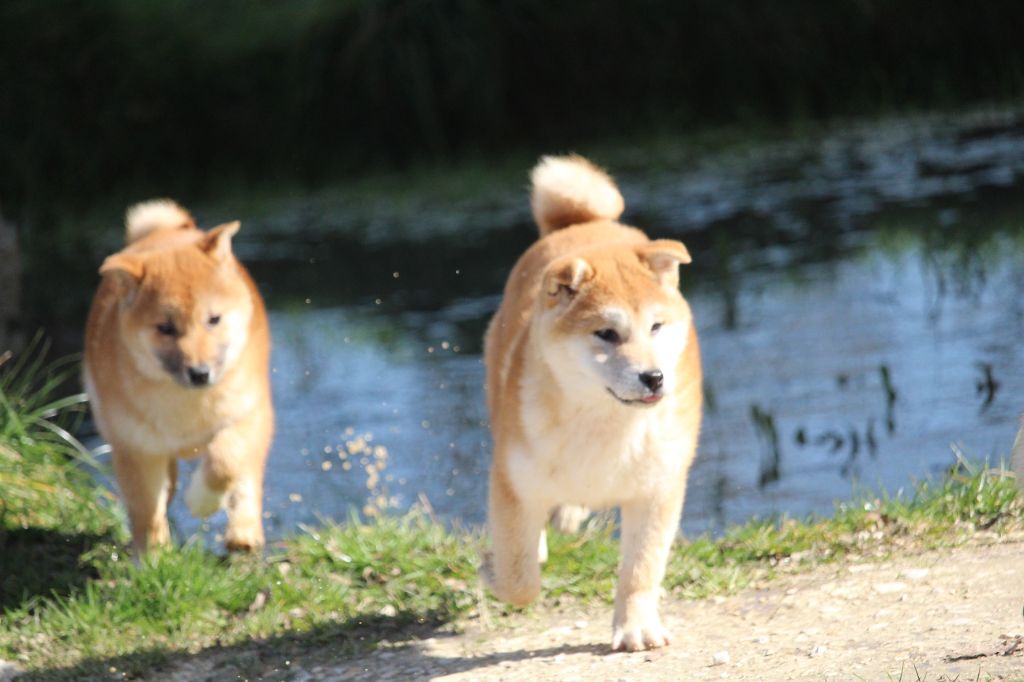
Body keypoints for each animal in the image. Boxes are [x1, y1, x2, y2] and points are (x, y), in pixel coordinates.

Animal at [83, 200, 274, 552]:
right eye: (165, 328)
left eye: (213, 319)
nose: (200, 373)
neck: (186, 407)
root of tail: (168, 229)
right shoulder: (134, 446)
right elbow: (146, 510)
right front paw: (151, 557)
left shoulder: (244, 415)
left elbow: (225, 463)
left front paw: (201, 501)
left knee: (247, 476)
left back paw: (243, 533)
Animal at [481, 152, 704, 647]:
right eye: (606, 333)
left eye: (656, 326)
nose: (654, 377)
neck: (607, 425)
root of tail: (584, 223)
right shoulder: (513, 479)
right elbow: (518, 577)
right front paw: (494, 569)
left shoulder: (658, 487)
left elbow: (641, 570)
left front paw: (636, 627)